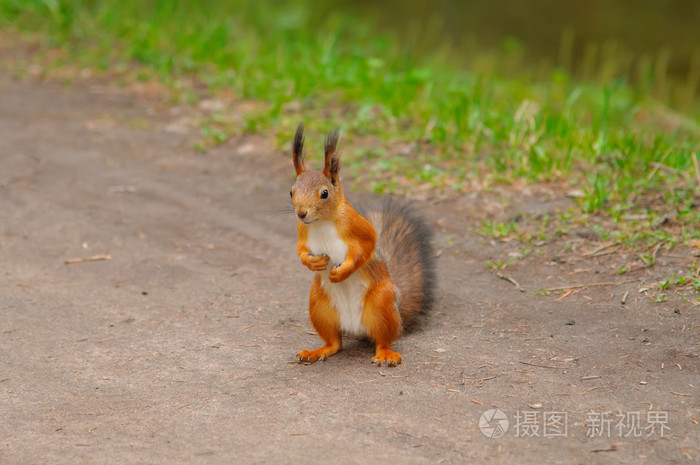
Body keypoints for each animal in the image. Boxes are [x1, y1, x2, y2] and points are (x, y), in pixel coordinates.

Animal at [288, 124, 432, 366]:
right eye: (291, 191)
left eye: (324, 193)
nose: (301, 213)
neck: (322, 222)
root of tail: (356, 328)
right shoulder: (302, 231)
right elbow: (300, 251)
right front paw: (313, 262)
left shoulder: (358, 226)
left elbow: (365, 248)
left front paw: (342, 272)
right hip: (319, 304)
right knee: (334, 343)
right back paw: (316, 351)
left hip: (381, 303)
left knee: (383, 339)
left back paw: (386, 354)